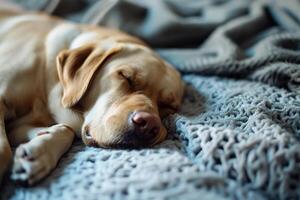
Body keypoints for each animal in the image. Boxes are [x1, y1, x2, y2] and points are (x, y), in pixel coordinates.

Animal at [0, 6, 183, 185]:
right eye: (126, 77)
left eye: (167, 105)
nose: (149, 123)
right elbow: (4, 151)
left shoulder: (18, 127)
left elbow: (66, 129)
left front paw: (39, 153)